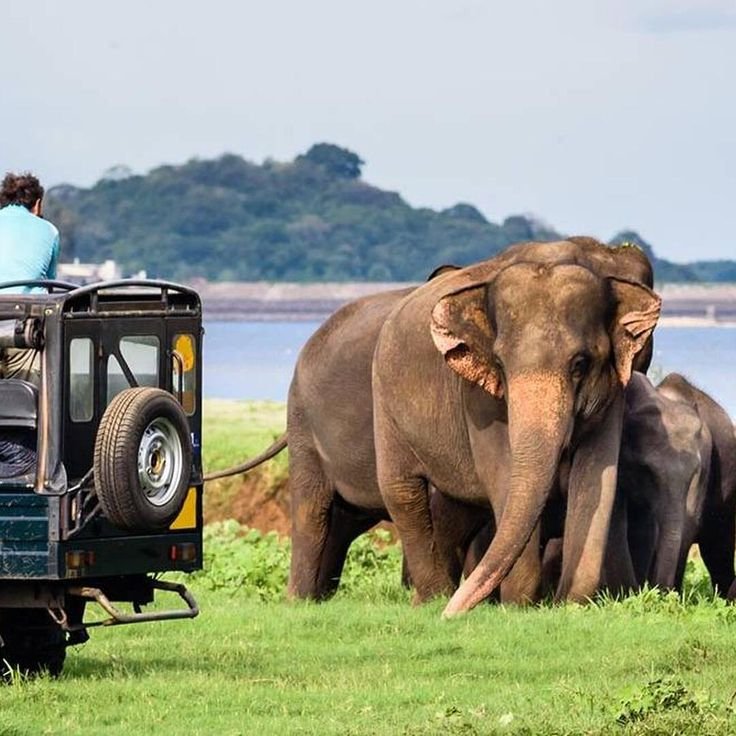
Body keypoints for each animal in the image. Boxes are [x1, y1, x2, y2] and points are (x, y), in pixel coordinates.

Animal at [374, 237, 660, 616]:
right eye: (499, 363)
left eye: (580, 364)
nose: (451, 616)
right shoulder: (478, 397)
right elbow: (503, 473)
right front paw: (519, 606)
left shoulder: (613, 389)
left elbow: (597, 474)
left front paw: (570, 604)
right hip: (384, 404)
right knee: (402, 492)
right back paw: (433, 599)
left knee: (453, 508)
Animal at [620, 370, 736, 596]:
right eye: (646, 470)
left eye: (694, 473)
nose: (656, 590)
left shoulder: (706, 461)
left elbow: (688, 526)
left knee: (718, 550)